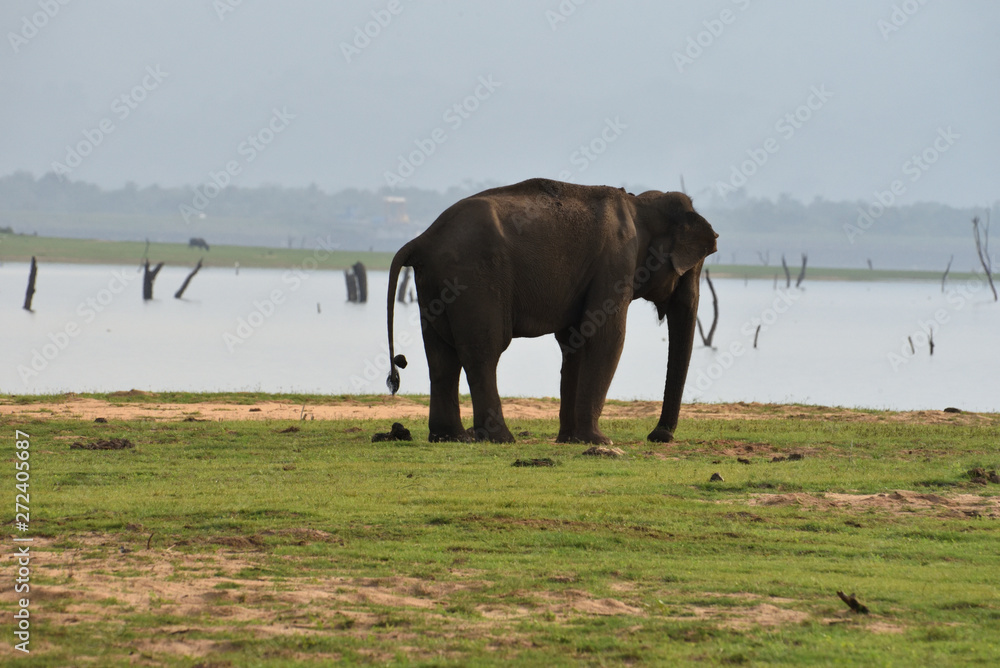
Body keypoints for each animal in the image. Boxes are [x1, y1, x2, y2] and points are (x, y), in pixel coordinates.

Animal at [385, 178, 718, 444]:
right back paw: (501, 439)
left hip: (433, 287)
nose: (658, 436)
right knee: (483, 352)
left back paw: (451, 438)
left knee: (441, 356)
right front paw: (599, 441)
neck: (640, 205)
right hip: (473, 280)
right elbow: (607, 337)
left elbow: (575, 341)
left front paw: (570, 440)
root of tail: (423, 239)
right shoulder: (616, 263)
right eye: (694, 267)